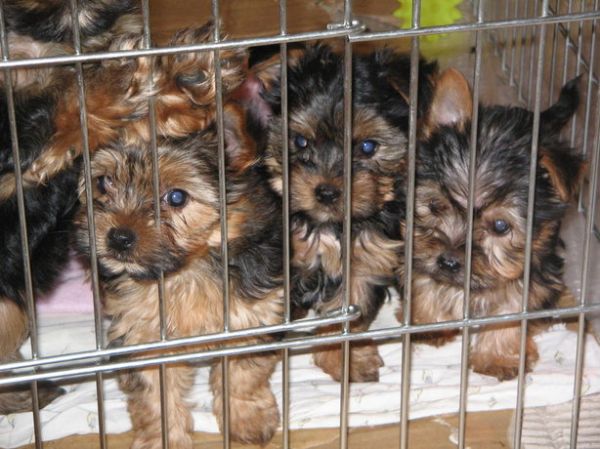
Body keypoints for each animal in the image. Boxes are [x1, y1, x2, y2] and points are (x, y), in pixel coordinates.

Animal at [74, 103, 283, 448]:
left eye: (176, 198)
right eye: (104, 183)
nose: (118, 237)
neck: (186, 272)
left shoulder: (250, 316)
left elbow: (243, 372)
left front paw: (246, 418)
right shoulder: (143, 332)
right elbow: (155, 391)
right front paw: (163, 436)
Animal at [249, 43, 437, 382]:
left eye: (367, 147)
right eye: (300, 141)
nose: (326, 192)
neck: (330, 226)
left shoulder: (365, 259)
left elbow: (348, 313)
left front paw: (346, 357)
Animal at [398, 68, 586, 380]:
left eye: (500, 226)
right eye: (435, 206)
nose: (448, 261)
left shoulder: (533, 265)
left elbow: (511, 308)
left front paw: (497, 356)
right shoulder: (418, 246)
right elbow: (424, 280)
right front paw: (427, 322)